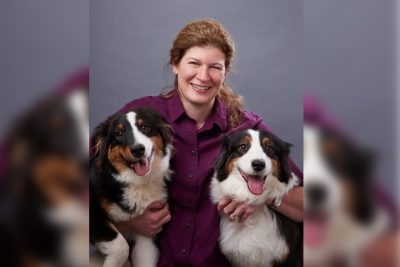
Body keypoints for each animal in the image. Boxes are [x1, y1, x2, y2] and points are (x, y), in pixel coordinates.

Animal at [90, 108, 173, 267]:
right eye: (119, 133)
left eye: (145, 127)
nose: (138, 149)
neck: (138, 182)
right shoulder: (94, 216)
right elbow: (121, 246)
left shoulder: (147, 233)